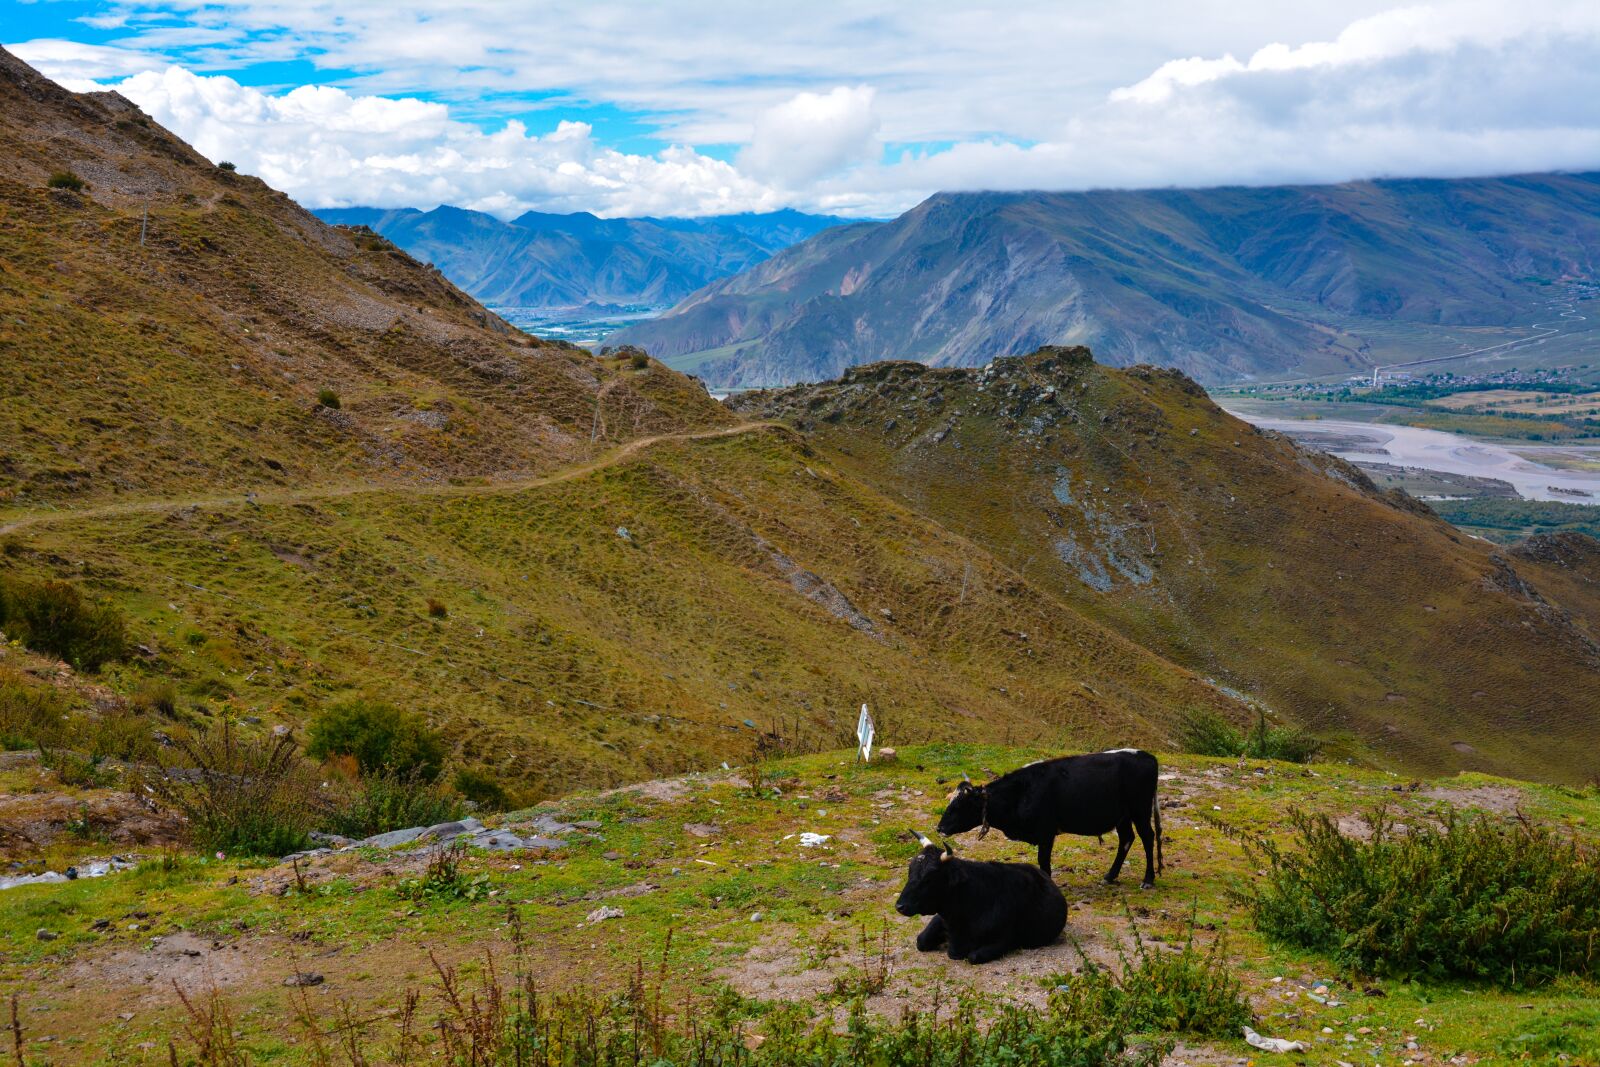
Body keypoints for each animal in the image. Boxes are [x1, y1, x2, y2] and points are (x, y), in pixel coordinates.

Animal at [894, 831, 1067, 964]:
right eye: (910, 871)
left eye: (929, 878)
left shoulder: (1006, 939)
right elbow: (921, 941)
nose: (900, 906)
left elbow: (973, 956)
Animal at [936, 749, 1164, 887]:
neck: (1021, 792)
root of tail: (1147, 756)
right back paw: (1110, 876)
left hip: (1140, 811)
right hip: (1122, 816)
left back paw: (1148, 879)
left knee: (1147, 837)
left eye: (959, 806)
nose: (939, 828)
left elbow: (1043, 862)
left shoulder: (1046, 833)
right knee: (1127, 839)